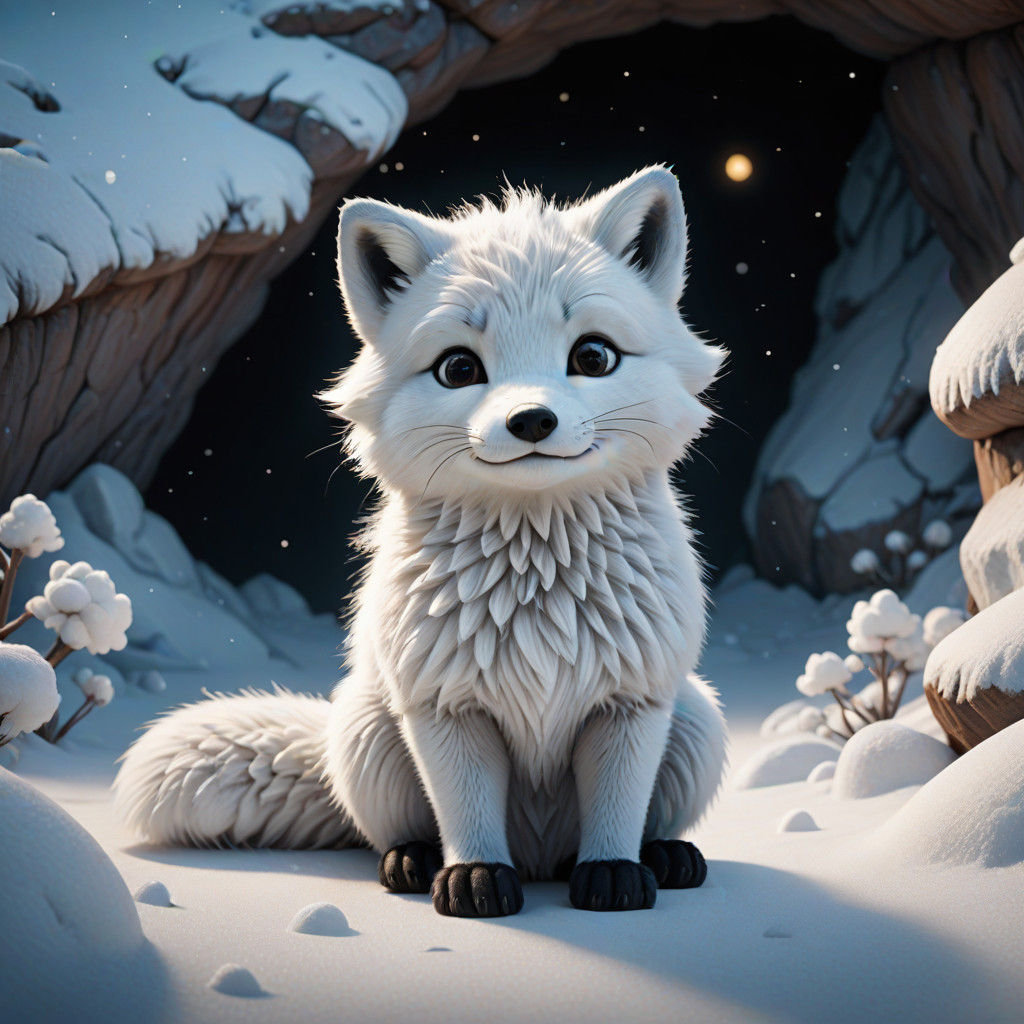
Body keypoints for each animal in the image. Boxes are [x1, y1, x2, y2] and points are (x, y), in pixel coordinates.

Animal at [115, 166, 728, 917]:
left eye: (592, 356)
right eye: (458, 369)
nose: (531, 420)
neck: (538, 595)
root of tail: (542, 858)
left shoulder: (632, 704)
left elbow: (617, 806)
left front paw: (613, 875)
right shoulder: (442, 707)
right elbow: (464, 808)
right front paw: (473, 879)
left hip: (697, 718)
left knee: (651, 821)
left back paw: (666, 856)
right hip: (366, 727)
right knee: (392, 831)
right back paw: (412, 862)